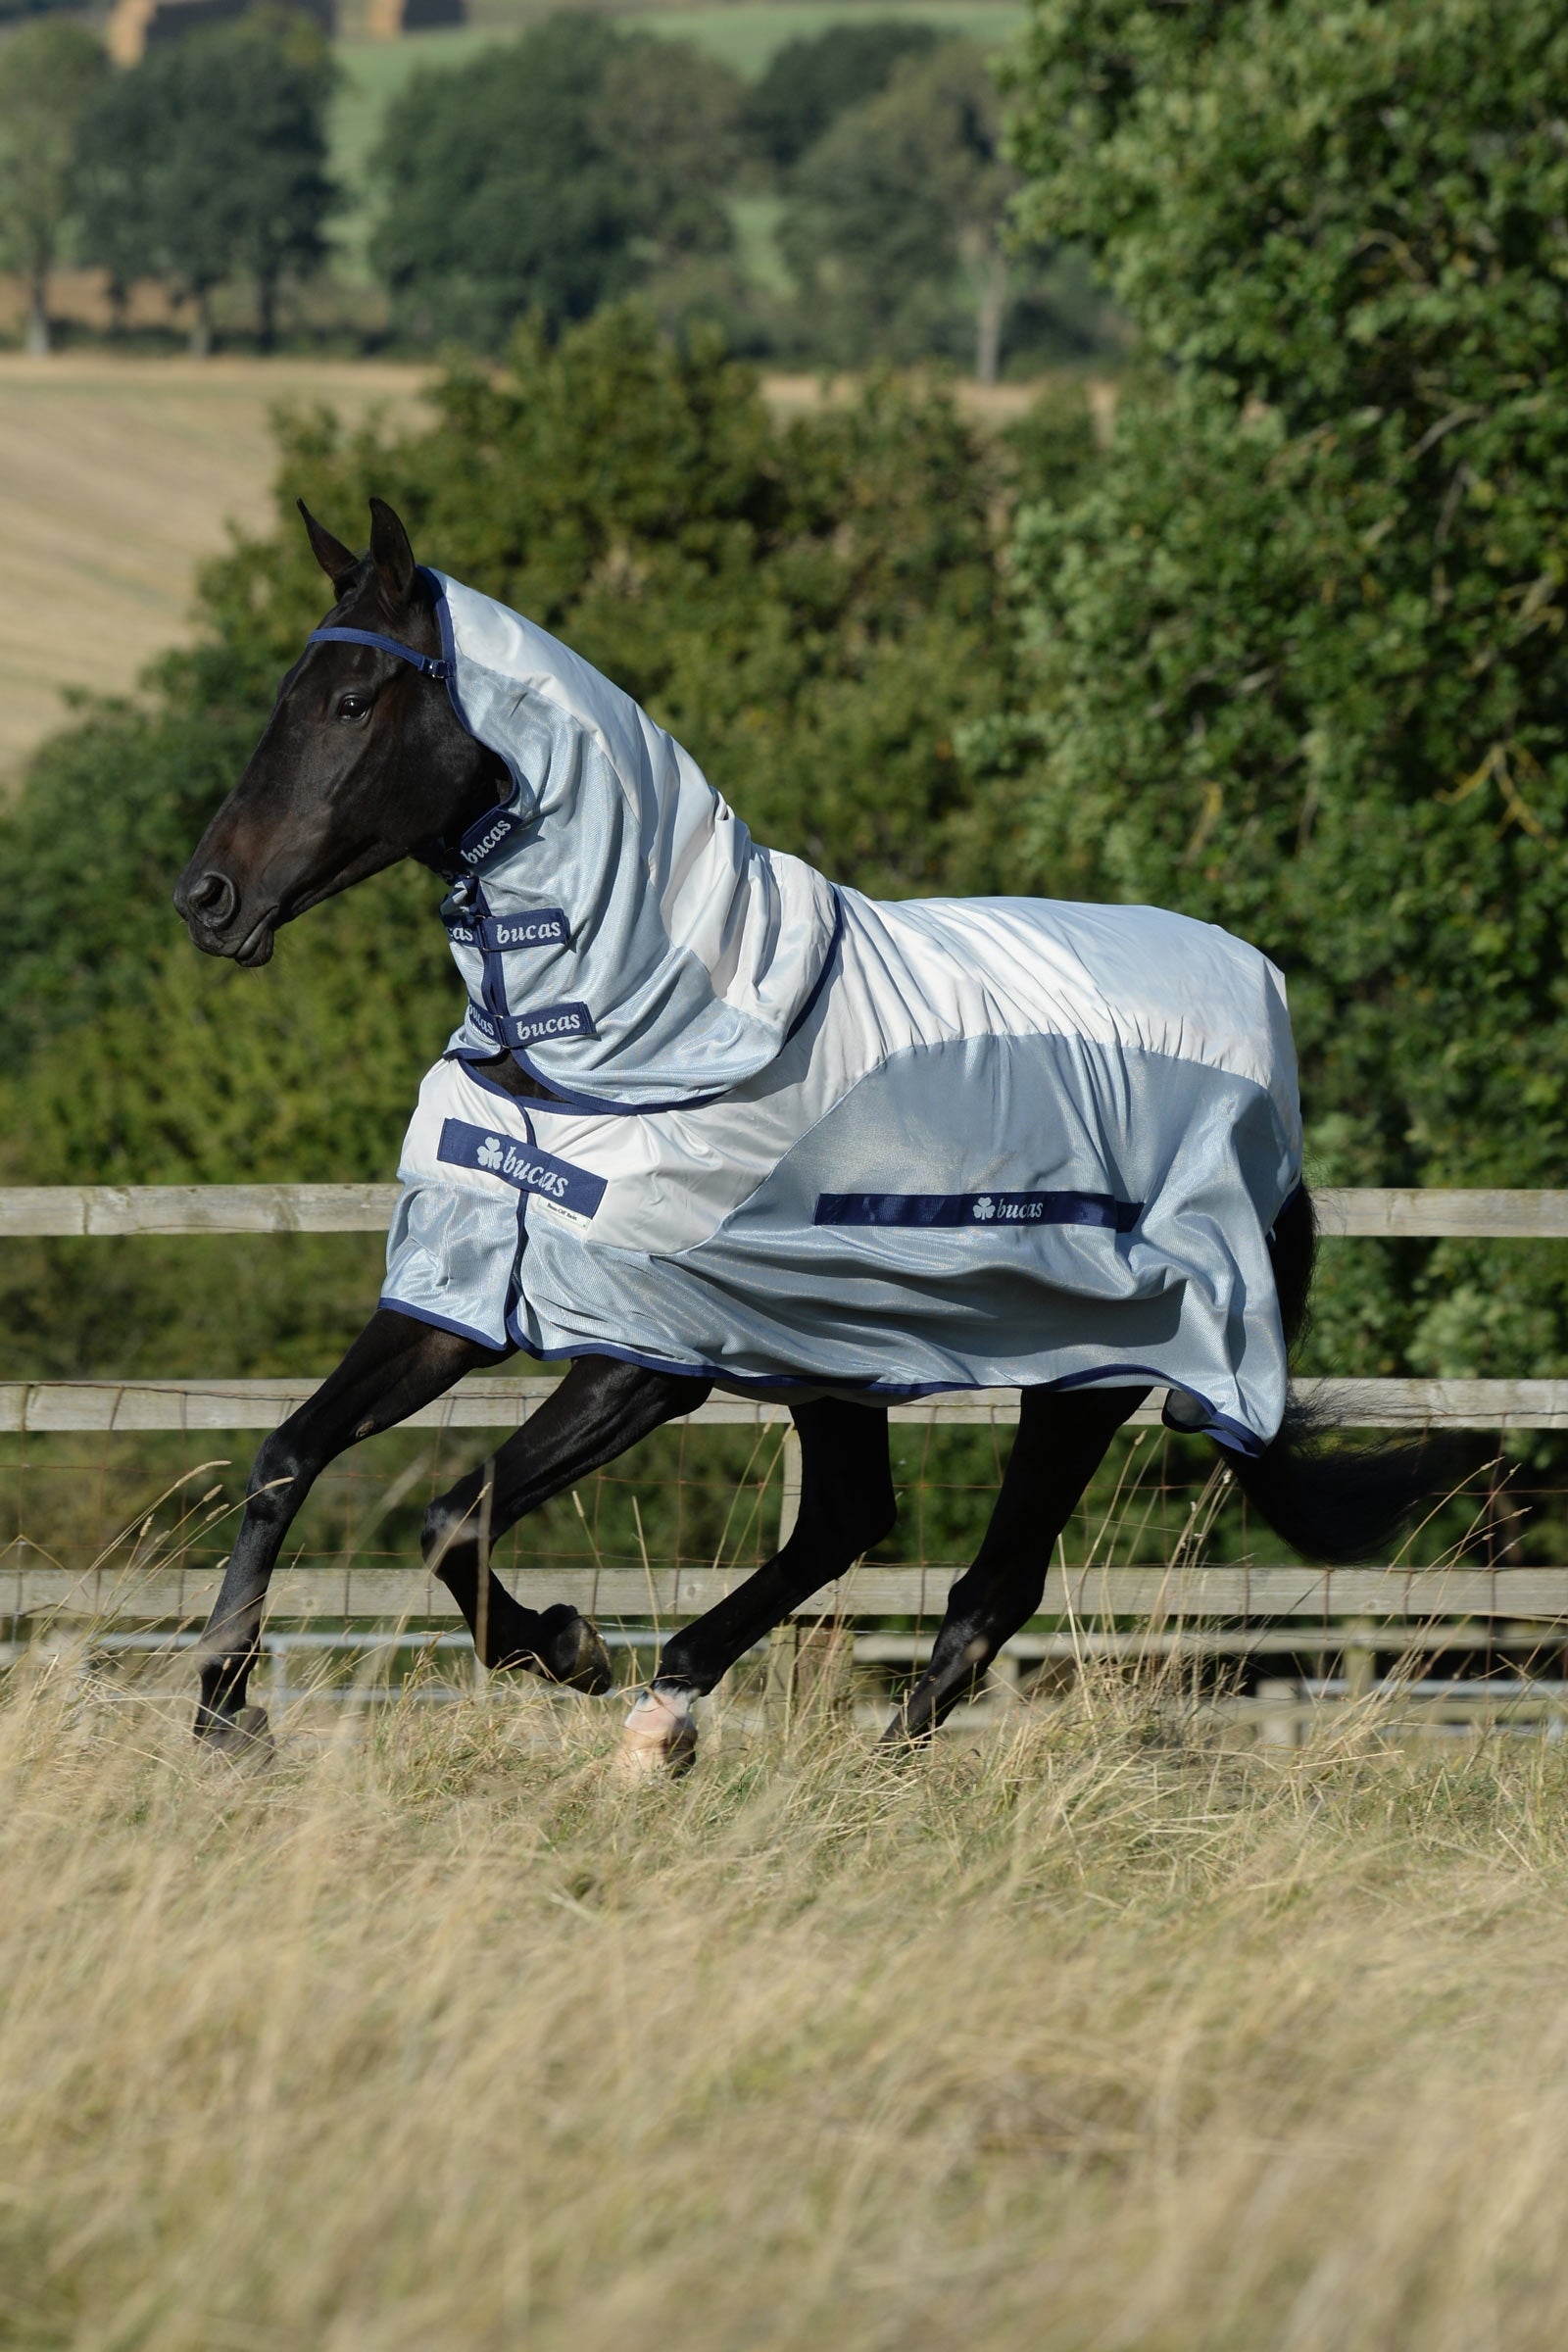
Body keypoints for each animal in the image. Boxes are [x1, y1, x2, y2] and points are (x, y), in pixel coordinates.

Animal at [173, 496, 1445, 1776]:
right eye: (288, 692)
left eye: (350, 702)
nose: (208, 899)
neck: (623, 1040)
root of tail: (1271, 1095)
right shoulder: (463, 1294)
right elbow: (287, 1457)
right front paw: (227, 1716)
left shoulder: (644, 1360)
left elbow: (452, 1515)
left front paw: (569, 1647)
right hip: (837, 1346)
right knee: (849, 1521)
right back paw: (675, 1708)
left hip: (1081, 1372)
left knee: (990, 1586)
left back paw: (832, 1761)